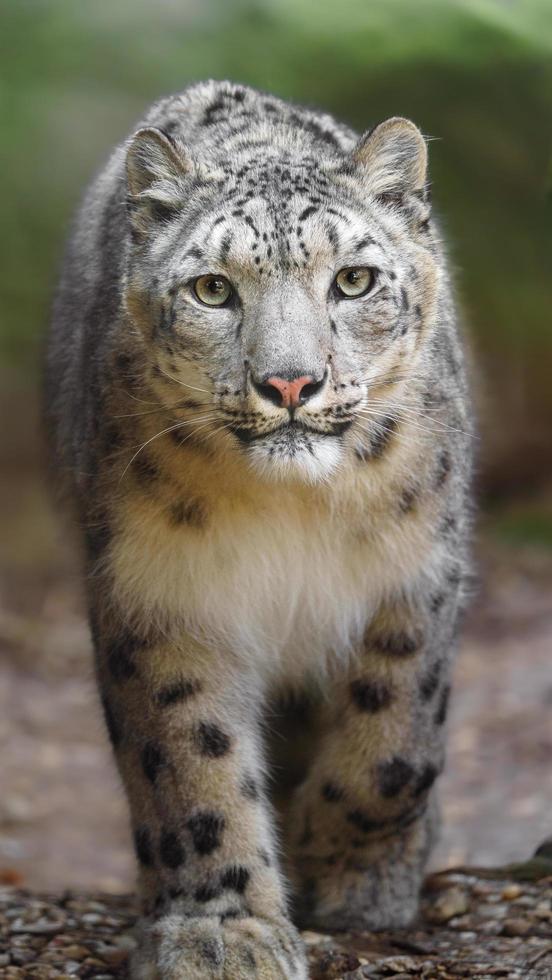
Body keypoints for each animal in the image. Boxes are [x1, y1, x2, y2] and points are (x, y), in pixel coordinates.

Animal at [44, 78, 474, 980]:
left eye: (353, 280)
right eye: (212, 289)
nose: (289, 382)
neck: (293, 510)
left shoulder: (417, 574)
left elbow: (394, 747)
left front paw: (343, 874)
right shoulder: (162, 596)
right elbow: (188, 764)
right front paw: (222, 933)